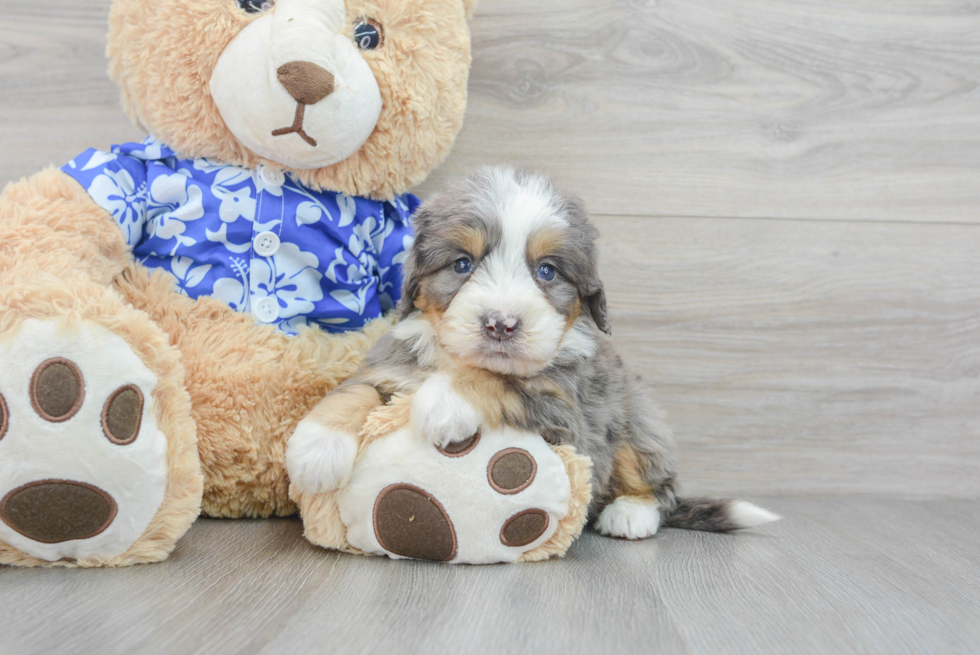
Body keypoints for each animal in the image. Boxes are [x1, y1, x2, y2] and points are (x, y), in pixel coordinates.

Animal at [288, 167, 776, 540]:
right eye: (463, 264)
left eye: (547, 271)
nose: (501, 324)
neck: (453, 359)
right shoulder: (393, 362)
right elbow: (357, 390)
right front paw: (316, 447)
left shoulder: (566, 411)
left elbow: (500, 377)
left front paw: (443, 402)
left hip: (637, 420)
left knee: (658, 482)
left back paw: (630, 514)